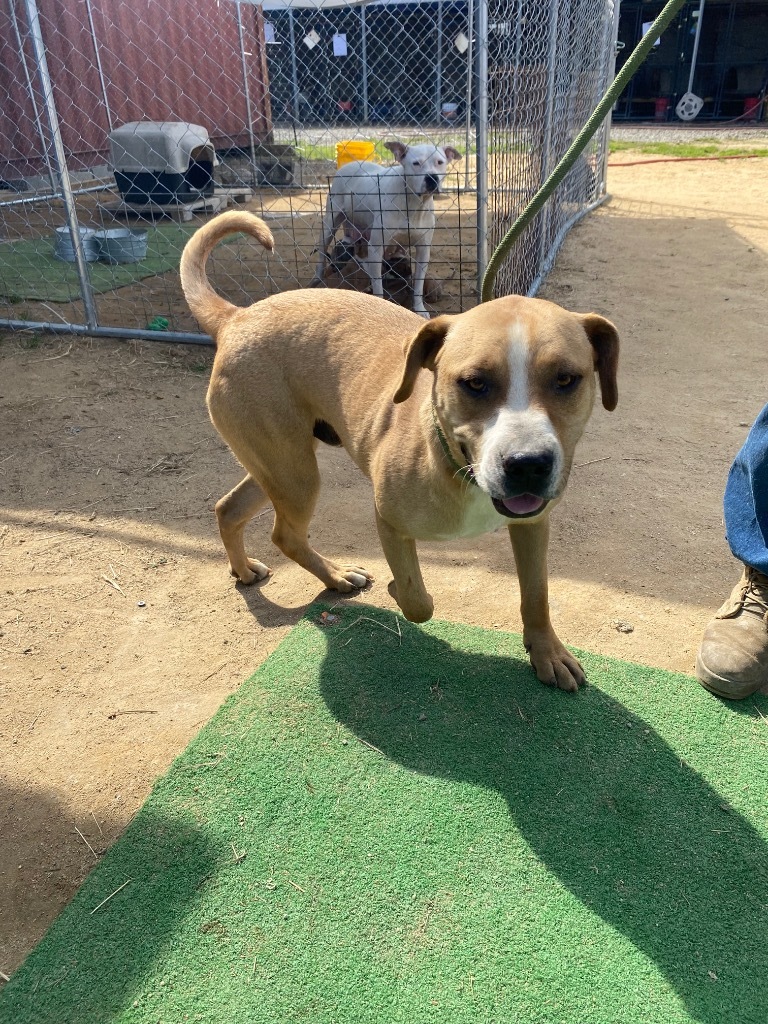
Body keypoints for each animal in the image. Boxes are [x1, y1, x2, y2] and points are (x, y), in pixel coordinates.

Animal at [180, 208, 618, 692]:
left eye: (567, 379)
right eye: (474, 382)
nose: (527, 465)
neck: (457, 468)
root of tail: (237, 317)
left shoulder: (533, 523)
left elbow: (537, 593)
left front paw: (547, 652)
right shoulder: (388, 519)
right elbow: (417, 601)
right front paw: (397, 591)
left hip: (275, 464)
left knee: (228, 507)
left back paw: (246, 569)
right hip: (294, 473)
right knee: (285, 534)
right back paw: (335, 575)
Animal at [309, 140, 460, 315]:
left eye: (439, 162)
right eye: (416, 163)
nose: (432, 178)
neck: (413, 203)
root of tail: (351, 164)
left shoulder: (423, 250)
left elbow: (418, 285)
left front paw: (419, 309)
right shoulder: (376, 248)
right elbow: (378, 286)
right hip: (330, 224)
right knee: (322, 252)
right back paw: (317, 278)